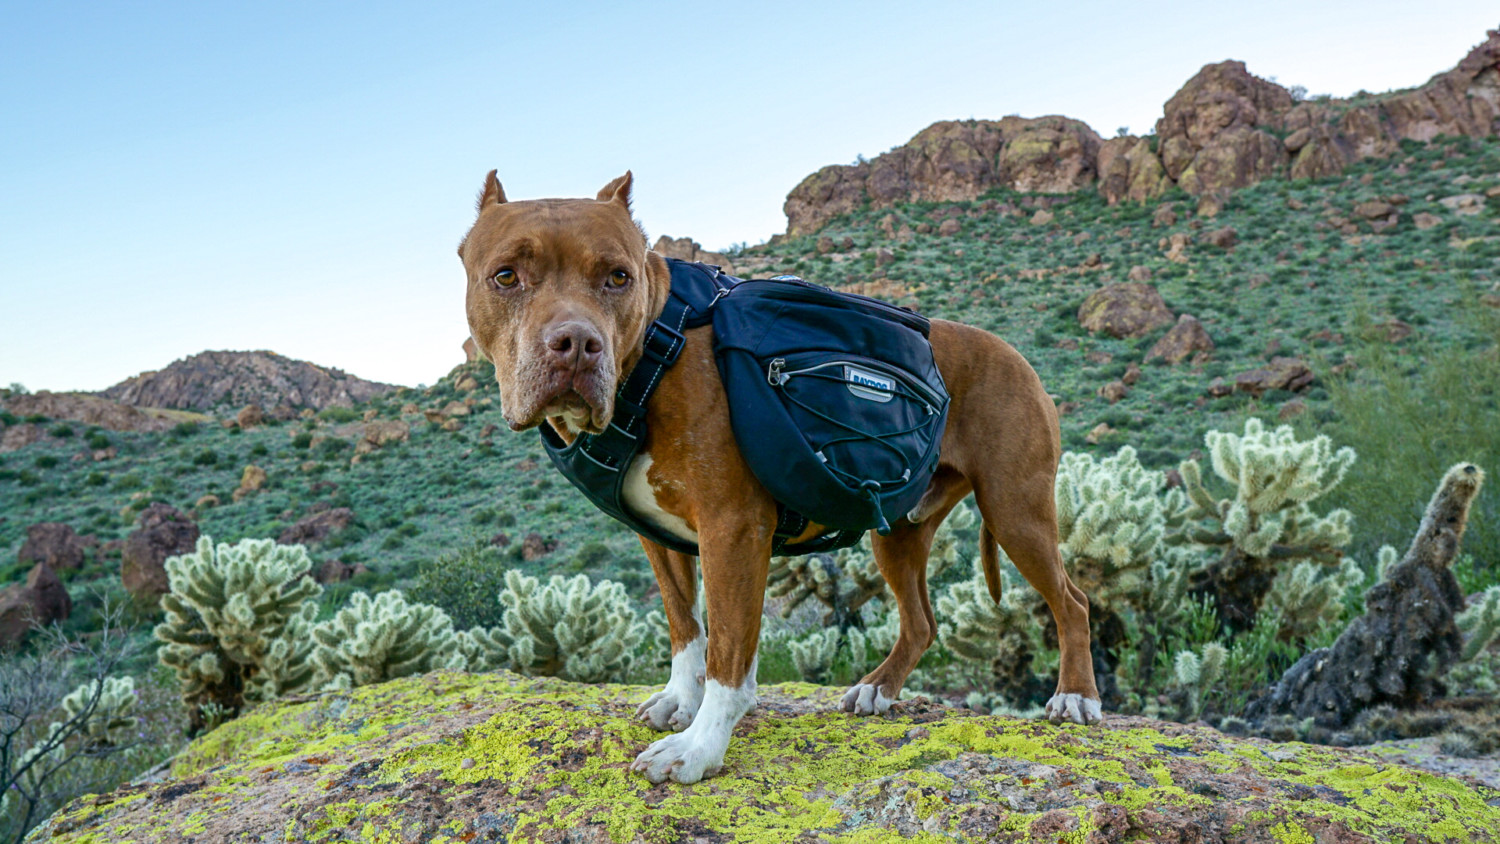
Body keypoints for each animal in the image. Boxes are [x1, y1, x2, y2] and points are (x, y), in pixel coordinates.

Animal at [456, 170, 1104, 785]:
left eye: (618, 277)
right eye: (506, 276)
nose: (576, 343)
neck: (654, 356)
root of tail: (1016, 354)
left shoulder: (734, 529)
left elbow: (729, 656)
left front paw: (699, 747)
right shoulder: (660, 537)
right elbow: (685, 627)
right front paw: (679, 700)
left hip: (1016, 510)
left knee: (1073, 602)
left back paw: (1075, 698)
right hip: (898, 531)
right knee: (921, 622)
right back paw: (878, 689)